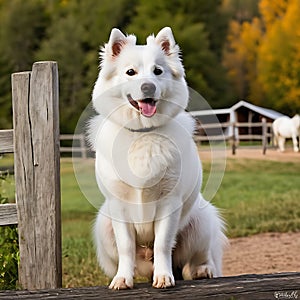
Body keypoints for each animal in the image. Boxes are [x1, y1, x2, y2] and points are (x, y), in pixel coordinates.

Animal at [89, 27, 227, 290]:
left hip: (201, 221)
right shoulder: (119, 206)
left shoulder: (168, 203)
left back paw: (203, 270)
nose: (147, 87)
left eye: (158, 71)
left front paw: (163, 277)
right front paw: (123, 279)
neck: (144, 133)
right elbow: (126, 246)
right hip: (104, 225)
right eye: (130, 72)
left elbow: (163, 244)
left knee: (200, 257)